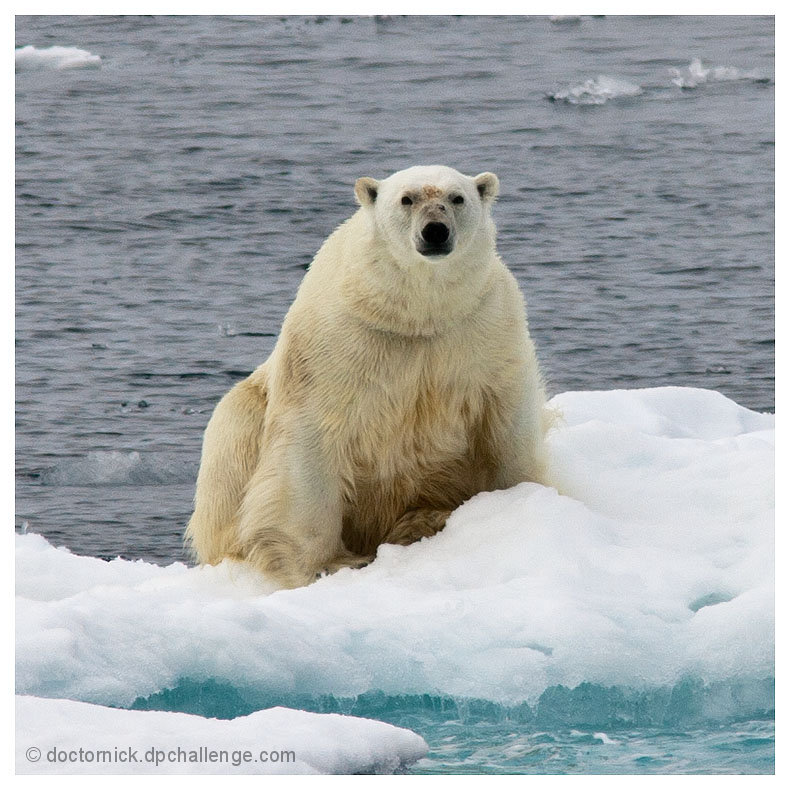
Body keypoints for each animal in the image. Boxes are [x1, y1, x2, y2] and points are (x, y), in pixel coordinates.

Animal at [185, 165, 550, 589]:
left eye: (456, 197)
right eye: (407, 199)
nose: (435, 231)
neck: (416, 317)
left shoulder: (484, 328)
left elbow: (506, 424)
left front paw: (514, 503)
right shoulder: (337, 340)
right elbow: (310, 440)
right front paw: (324, 564)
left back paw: (422, 520)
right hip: (240, 423)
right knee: (232, 442)